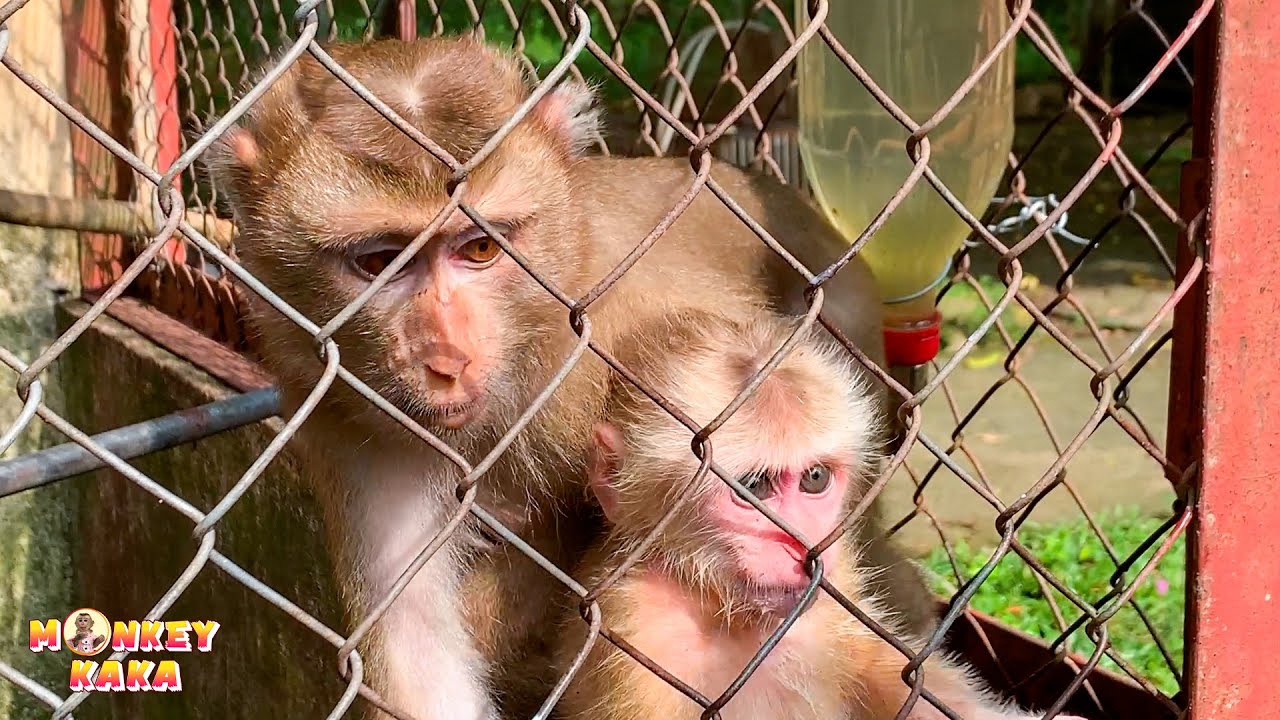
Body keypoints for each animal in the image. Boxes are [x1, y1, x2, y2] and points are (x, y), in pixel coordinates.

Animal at [208, 35, 933, 720]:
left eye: (480, 247)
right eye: (381, 261)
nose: (447, 358)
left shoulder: (631, 320)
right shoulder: (345, 412)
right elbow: (418, 653)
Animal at [550, 309, 1085, 720]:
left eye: (813, 478)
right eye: (753, 488)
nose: (798, 543)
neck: (724, 609)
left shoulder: (837, 567)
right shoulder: (639, 630)